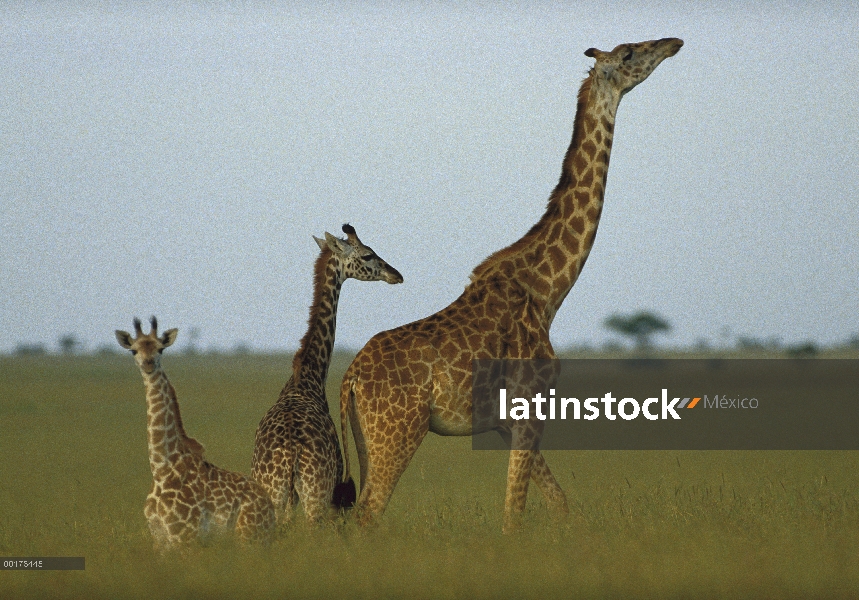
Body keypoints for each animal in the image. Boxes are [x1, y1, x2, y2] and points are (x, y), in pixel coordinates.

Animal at [115, 316, 276, 552]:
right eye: (134, 350)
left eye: (160, 349)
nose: (148, 364)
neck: (161, 468)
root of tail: (270, 506)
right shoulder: (159, 539)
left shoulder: (185, 536)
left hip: (249, 535)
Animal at [252, 225, 404, 524]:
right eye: (368, 255)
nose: (396, 274)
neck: (308, 376)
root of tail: (292, 456)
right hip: (316, 496)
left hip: (274, 493)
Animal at [342, 37, 684, 532]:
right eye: (629, 54)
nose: (673, 43)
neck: (547, 291)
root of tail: (349, 379)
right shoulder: (528, 409)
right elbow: (513, 515)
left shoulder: (506, 423)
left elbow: (558, 502)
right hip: (398, 432)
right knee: (368, 512)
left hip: (365, 438)